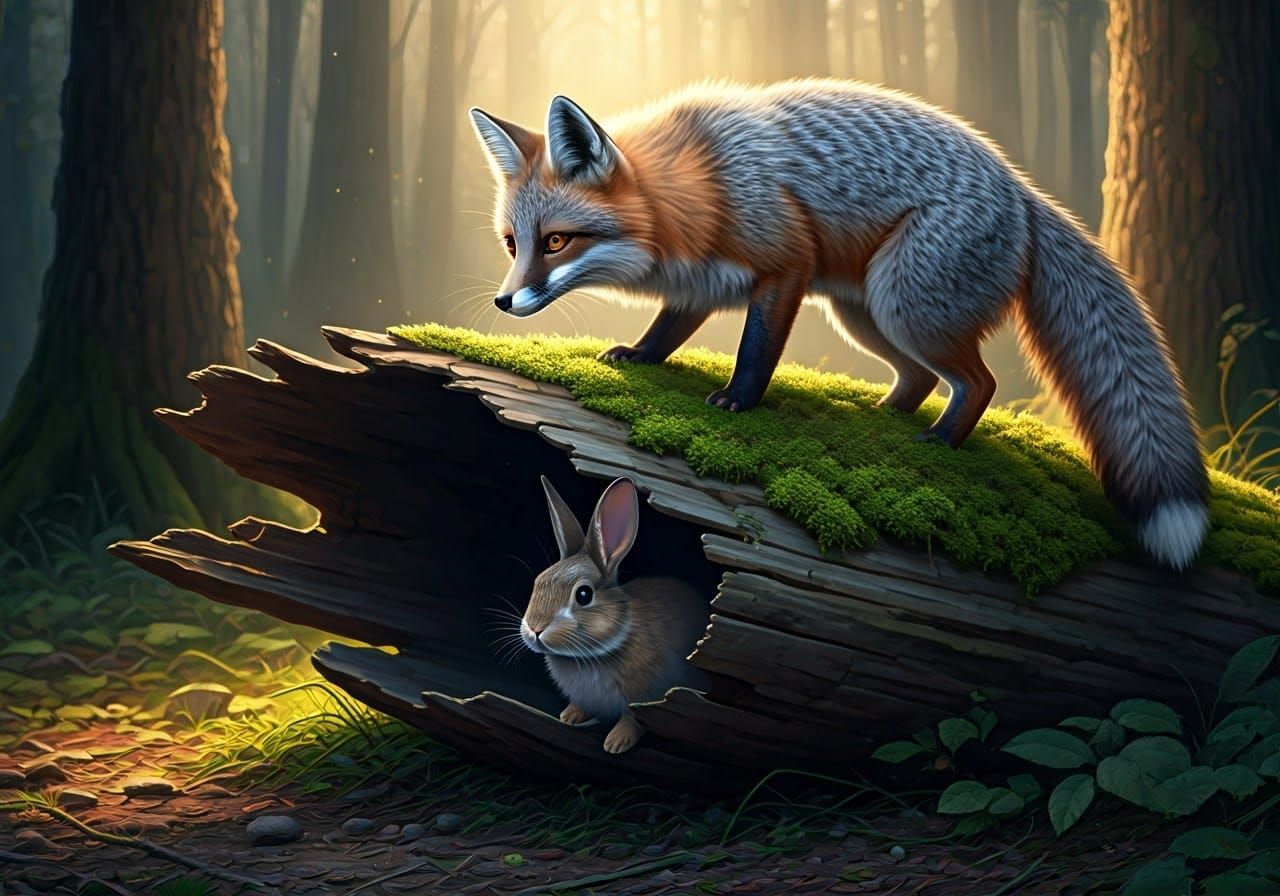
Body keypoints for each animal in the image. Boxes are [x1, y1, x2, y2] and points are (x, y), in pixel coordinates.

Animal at [468, 79, 1208, 569]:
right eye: (512, 244)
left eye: (556, 242)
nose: (504, 303)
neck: (698, 186)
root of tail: (1025, 191)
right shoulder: (702, 282)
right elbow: (669, 330)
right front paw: (640, 356)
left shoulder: (785, 266)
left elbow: (757, 350)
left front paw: (737, 402)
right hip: (865, 315)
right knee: (920, 380)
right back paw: (886, 418)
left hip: (902, 305)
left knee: (980, 381)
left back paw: (940, 440)